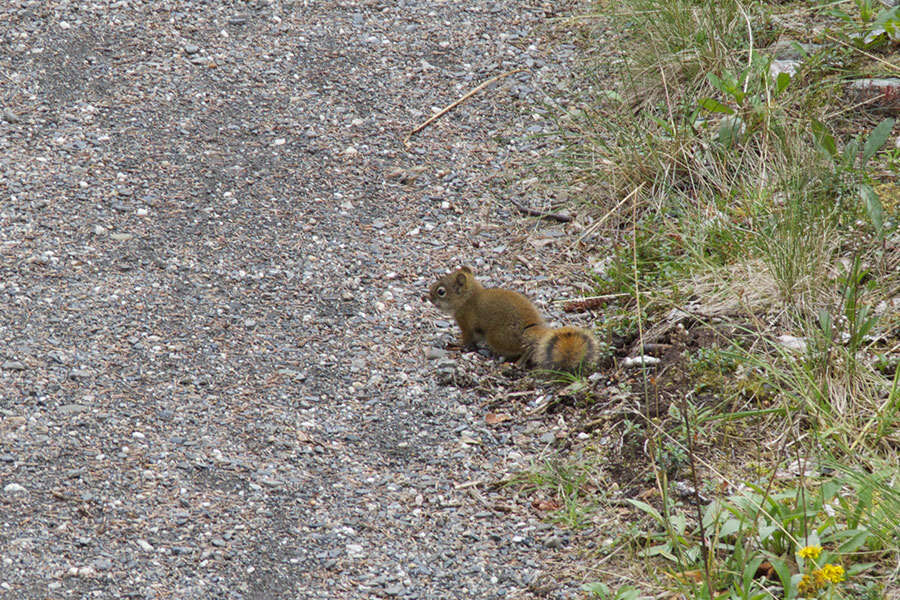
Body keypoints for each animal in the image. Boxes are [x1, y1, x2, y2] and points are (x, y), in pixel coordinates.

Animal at [428, 266, 596, 370]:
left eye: (441, 291)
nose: (427, 297)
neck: (468, 297)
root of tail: (531, 327)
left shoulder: (465, 322)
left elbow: (467, 340)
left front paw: (456, 345)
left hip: (498, 338)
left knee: (525, 348)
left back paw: (518, 363)